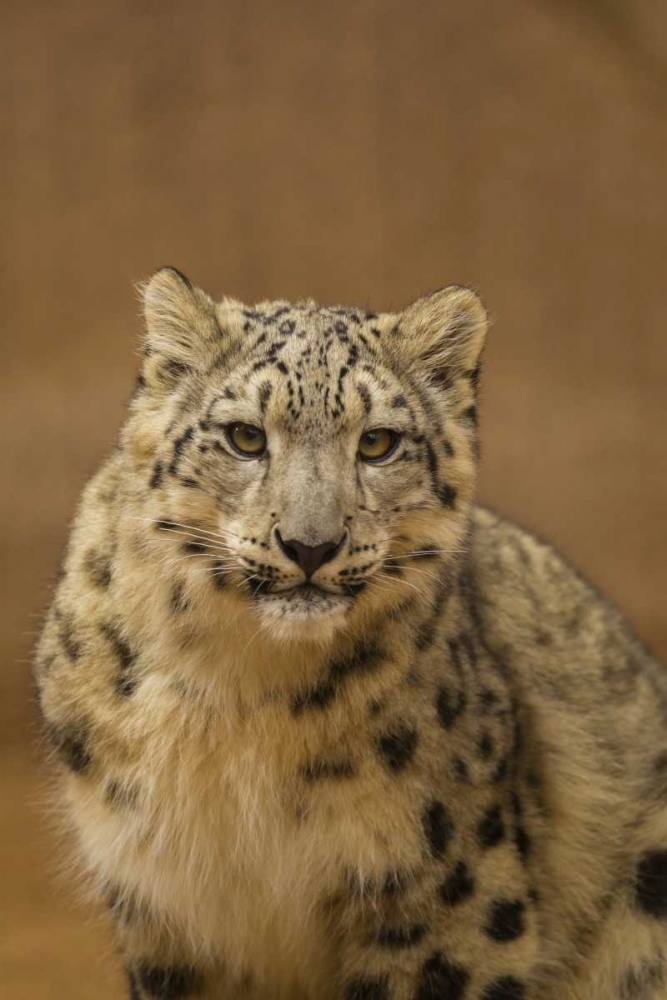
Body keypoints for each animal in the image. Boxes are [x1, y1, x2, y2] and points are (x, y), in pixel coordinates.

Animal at [34, 266, 667, 1000]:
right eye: (245, 437)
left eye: (377, 442)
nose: (311, 544)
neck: (242, 699)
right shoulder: (158, 904)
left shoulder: (443, 895)